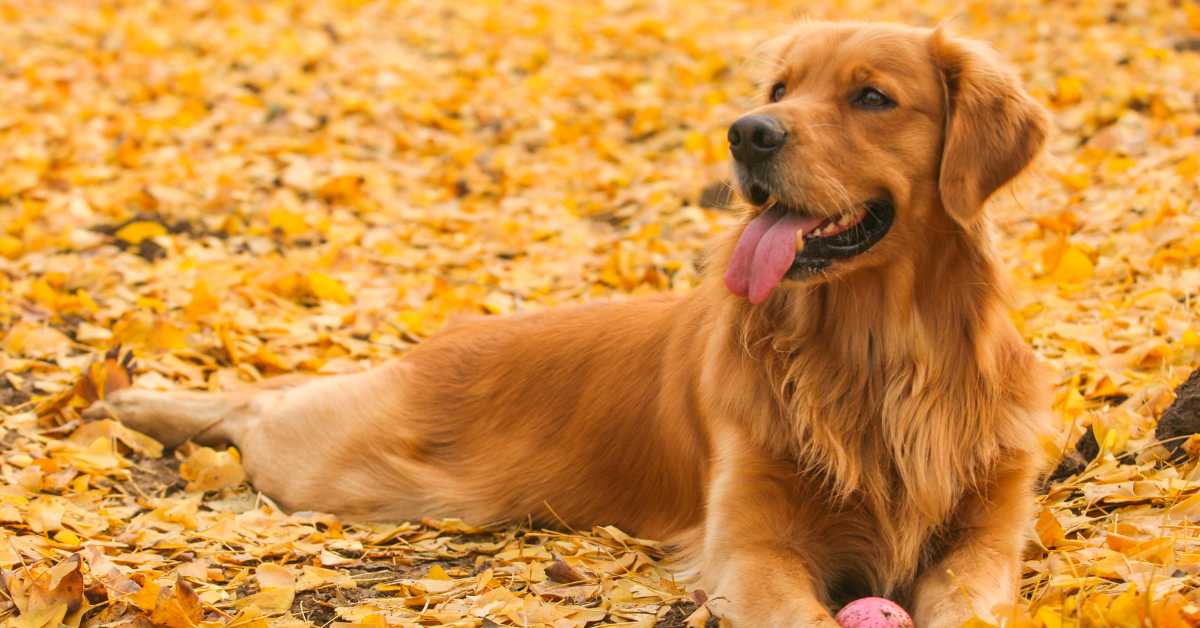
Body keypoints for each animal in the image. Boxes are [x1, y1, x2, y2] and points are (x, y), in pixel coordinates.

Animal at [88, 22, 1056, 624]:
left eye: (871, 98)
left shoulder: (990, 532)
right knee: (261, 403)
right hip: (346, 469)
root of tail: (438, 347)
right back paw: (134, 404)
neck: (877, 355)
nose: (747, 132)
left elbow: (971, 598)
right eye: (782, 87)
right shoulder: (751, 549)